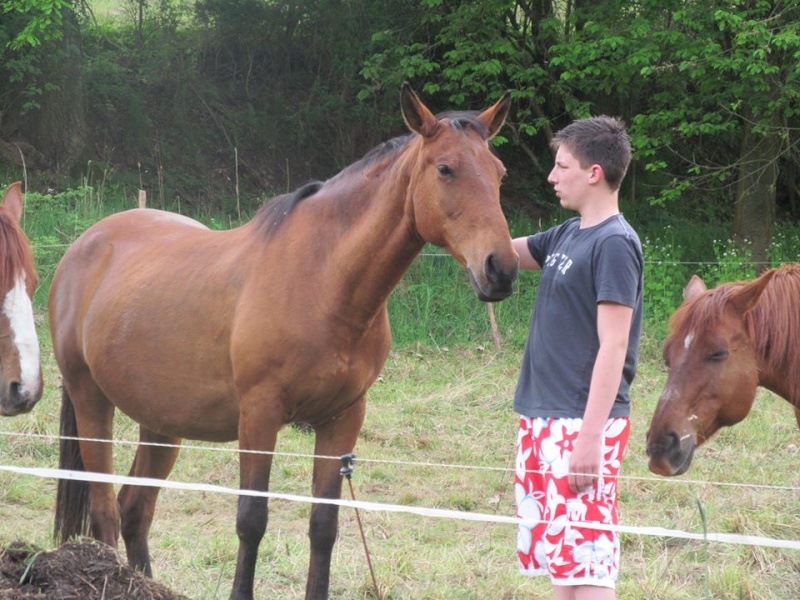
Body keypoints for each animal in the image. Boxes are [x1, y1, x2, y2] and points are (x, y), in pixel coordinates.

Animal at [53, 82, 520, 596]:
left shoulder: (342, 419)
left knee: (134, 507)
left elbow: (324, 525)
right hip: (91, 399)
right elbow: (251, 519)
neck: (323, 281)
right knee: (104, 510)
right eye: (445, 169)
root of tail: (85, 244)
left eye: (499, 173)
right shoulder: (259, 417)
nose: (500, 269)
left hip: (161, 420)